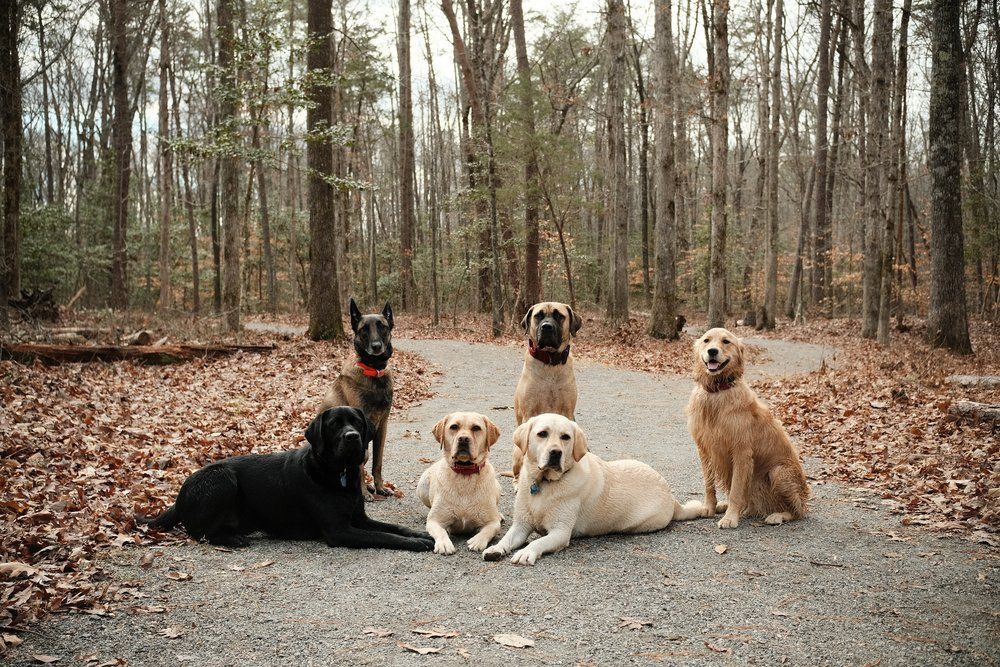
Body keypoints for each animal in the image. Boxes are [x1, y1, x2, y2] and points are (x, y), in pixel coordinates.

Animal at [140, 404, 434, 552]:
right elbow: (385, 537)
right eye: (334, 425)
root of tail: (180, 495)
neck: (337, 473)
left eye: (357, 422)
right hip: (222, 478)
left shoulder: (360, 519)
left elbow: (393, 528)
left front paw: (421, 533)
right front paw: (417, 543)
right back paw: (233, 539)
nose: (352, 437)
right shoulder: (339, 530)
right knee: (200, 532)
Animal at [688, 328, 812, 528]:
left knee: (798, 511)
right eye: (706, 340)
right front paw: (709, 507)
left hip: (779, 472)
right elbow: (709, 484)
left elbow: (736, 491)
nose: (712, 351)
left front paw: (730, 518)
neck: (718, 391)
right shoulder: (704, 449)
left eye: (726, 341)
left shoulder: (741, 452)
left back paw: (778, 515)